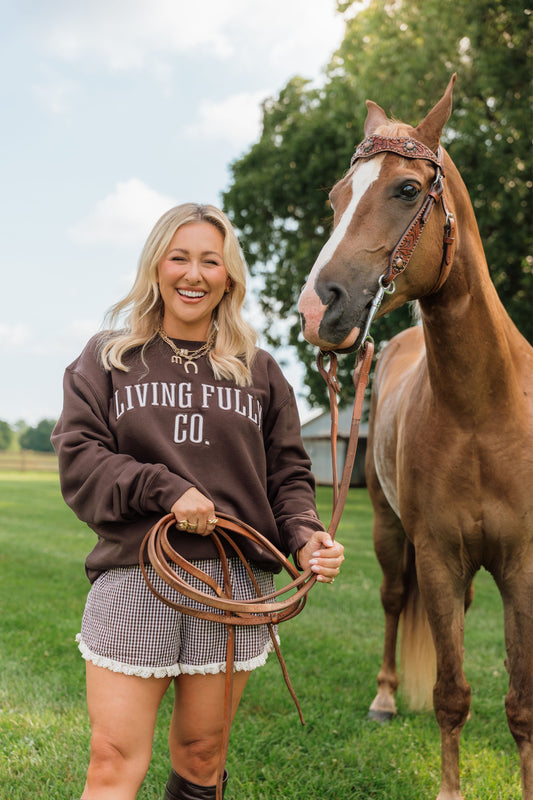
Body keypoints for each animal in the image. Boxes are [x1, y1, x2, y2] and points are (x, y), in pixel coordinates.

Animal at [298, 75, 533, 800]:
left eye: (405, 189)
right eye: (336, 197)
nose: (315, 309)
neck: (482, 412)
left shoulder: (522, 566)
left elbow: (520, 703)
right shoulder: (434, 554)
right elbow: (454, 696)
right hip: (387, 528)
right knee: (393, 604)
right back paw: (384, 696)